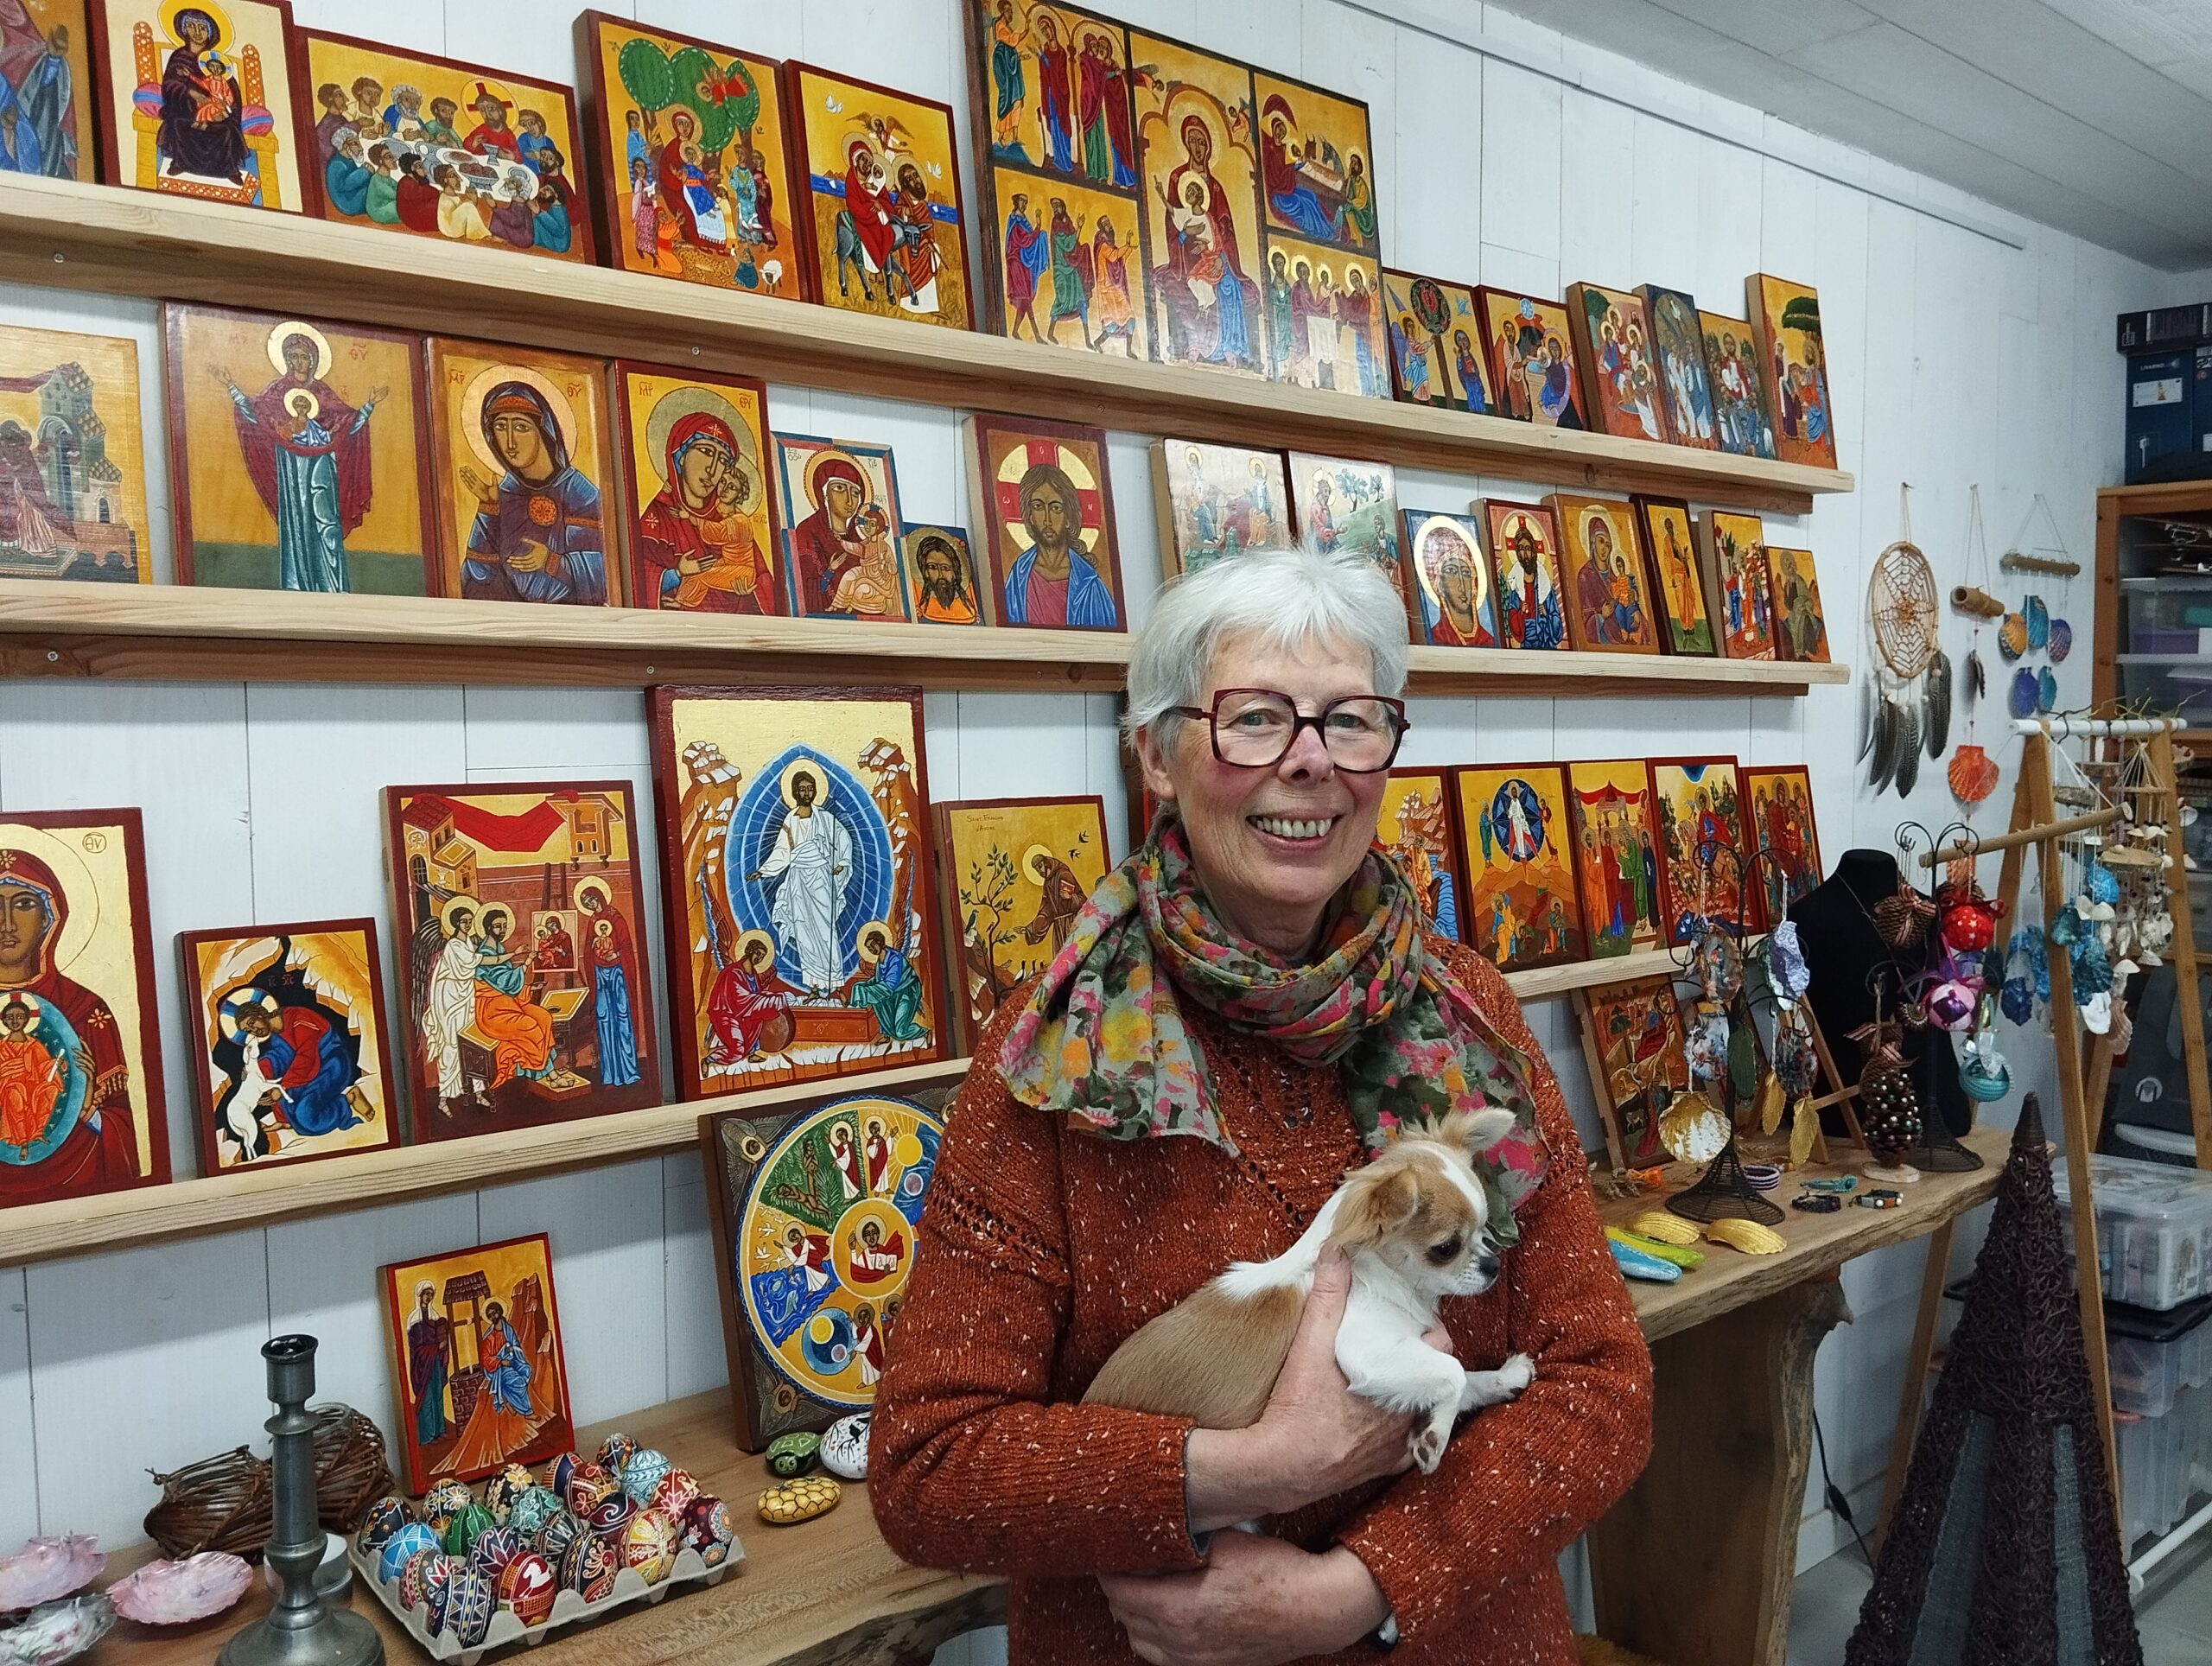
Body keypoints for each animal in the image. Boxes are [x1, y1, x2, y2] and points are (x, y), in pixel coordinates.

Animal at [1079, 1106, 1530, 1469]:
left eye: (1485, 1230)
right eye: (1446, 1248)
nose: (1492, 1265)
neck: (1380, 1278)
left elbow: (1467, 1380)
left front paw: (1502, 1378)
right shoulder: (1365, 1351)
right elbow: (1453, 1372)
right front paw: (1434, 1437)